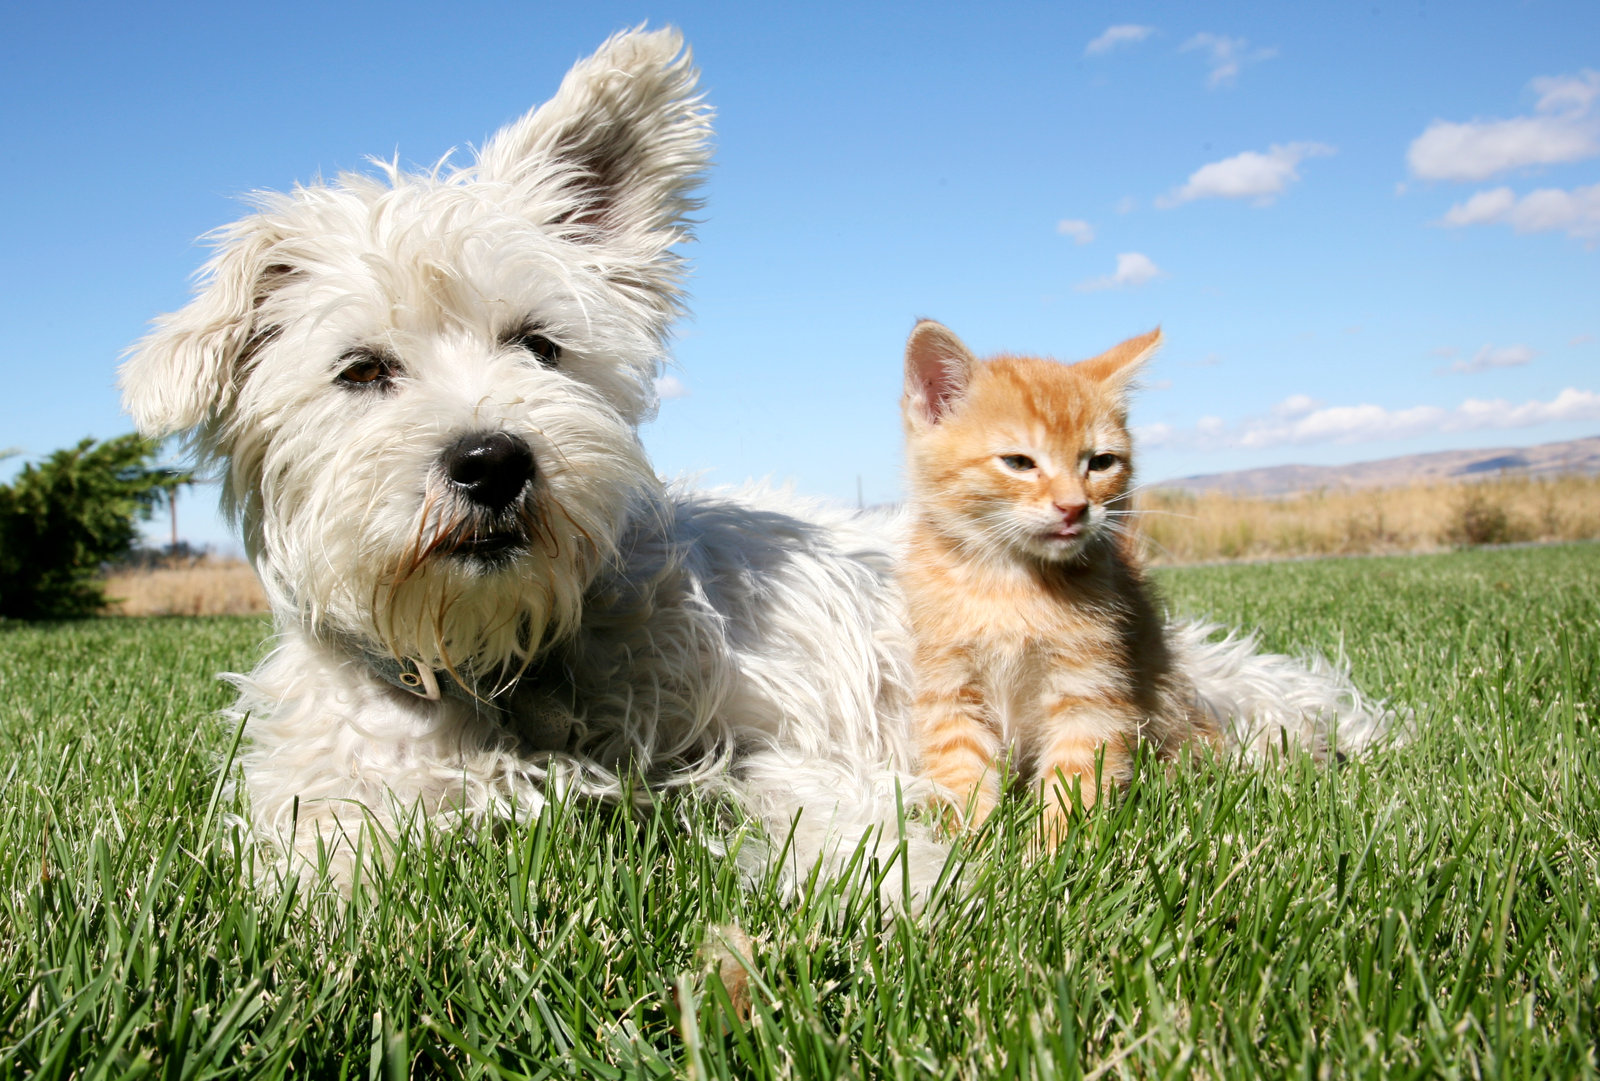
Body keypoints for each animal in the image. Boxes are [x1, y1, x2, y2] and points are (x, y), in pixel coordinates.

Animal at [896, 316, 1216, 837]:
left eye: (1101, 462)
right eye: (1019, 462)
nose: (1074, 507)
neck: (1007, 583)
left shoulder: (1090, 689)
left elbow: (1076, 775)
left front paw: (1051, 849)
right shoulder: (949, 686)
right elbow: (961, 771)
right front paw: (968, 847)